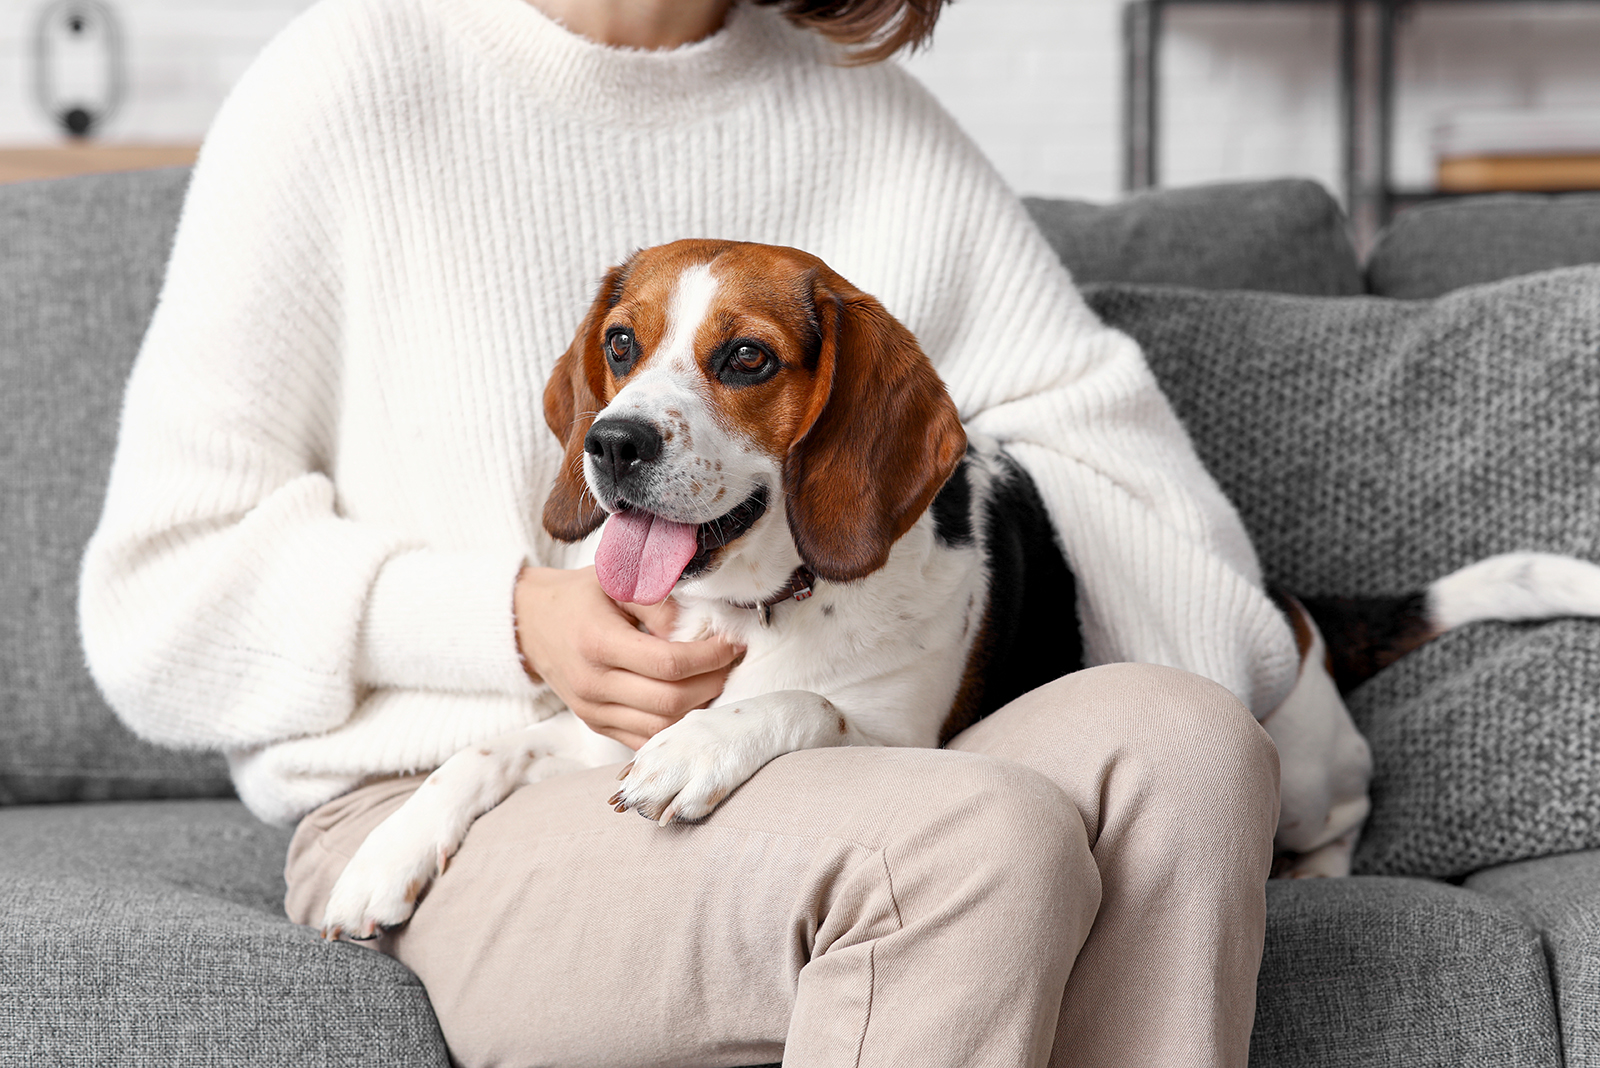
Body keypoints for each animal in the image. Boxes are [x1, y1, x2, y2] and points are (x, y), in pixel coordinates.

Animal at [318, 239, 1600, 933]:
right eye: (622, 346)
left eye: (745, 358)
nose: (613, 443)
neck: (763, 605)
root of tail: (1292, 603)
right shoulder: (601, 725)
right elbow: (481, 754)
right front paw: (384, 858)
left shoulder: (898, 737)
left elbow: (798, 705)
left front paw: (706, 750)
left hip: (1309, 761)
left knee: (1345, 808)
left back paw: (1317, 870)